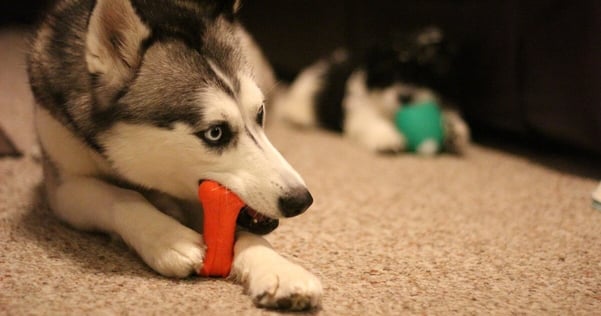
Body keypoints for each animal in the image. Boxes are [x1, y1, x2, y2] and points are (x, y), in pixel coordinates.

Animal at [27, 0, 322, 312]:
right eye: (215, 133)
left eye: (259, 114)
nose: (301, 200)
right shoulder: (65, 185)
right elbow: (118, 195)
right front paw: (168, 238)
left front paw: (278, 268)